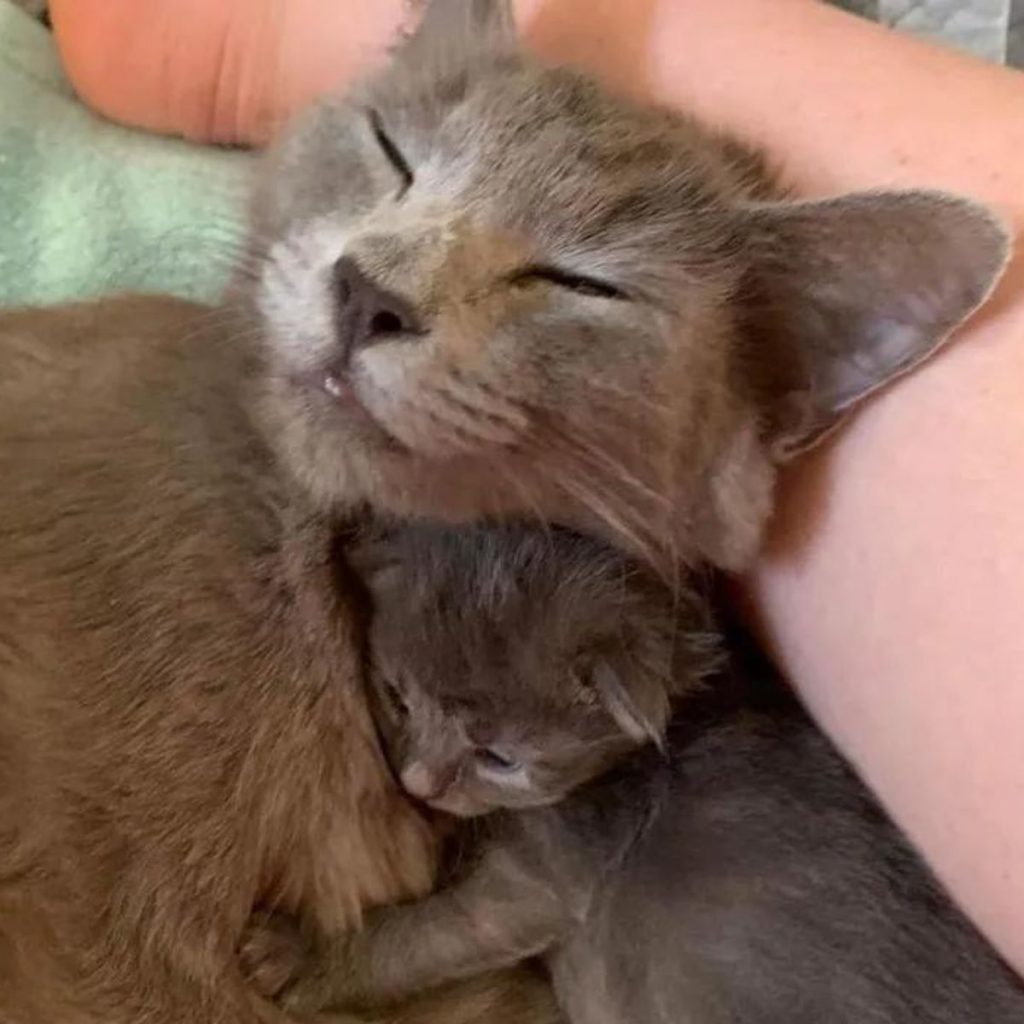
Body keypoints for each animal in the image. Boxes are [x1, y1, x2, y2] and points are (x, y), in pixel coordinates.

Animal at [243, 524, 1024, 1019]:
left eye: (500, 758)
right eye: (398, 697)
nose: (417, 783)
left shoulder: (547, 878)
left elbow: (424, 936)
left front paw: (309, 957)